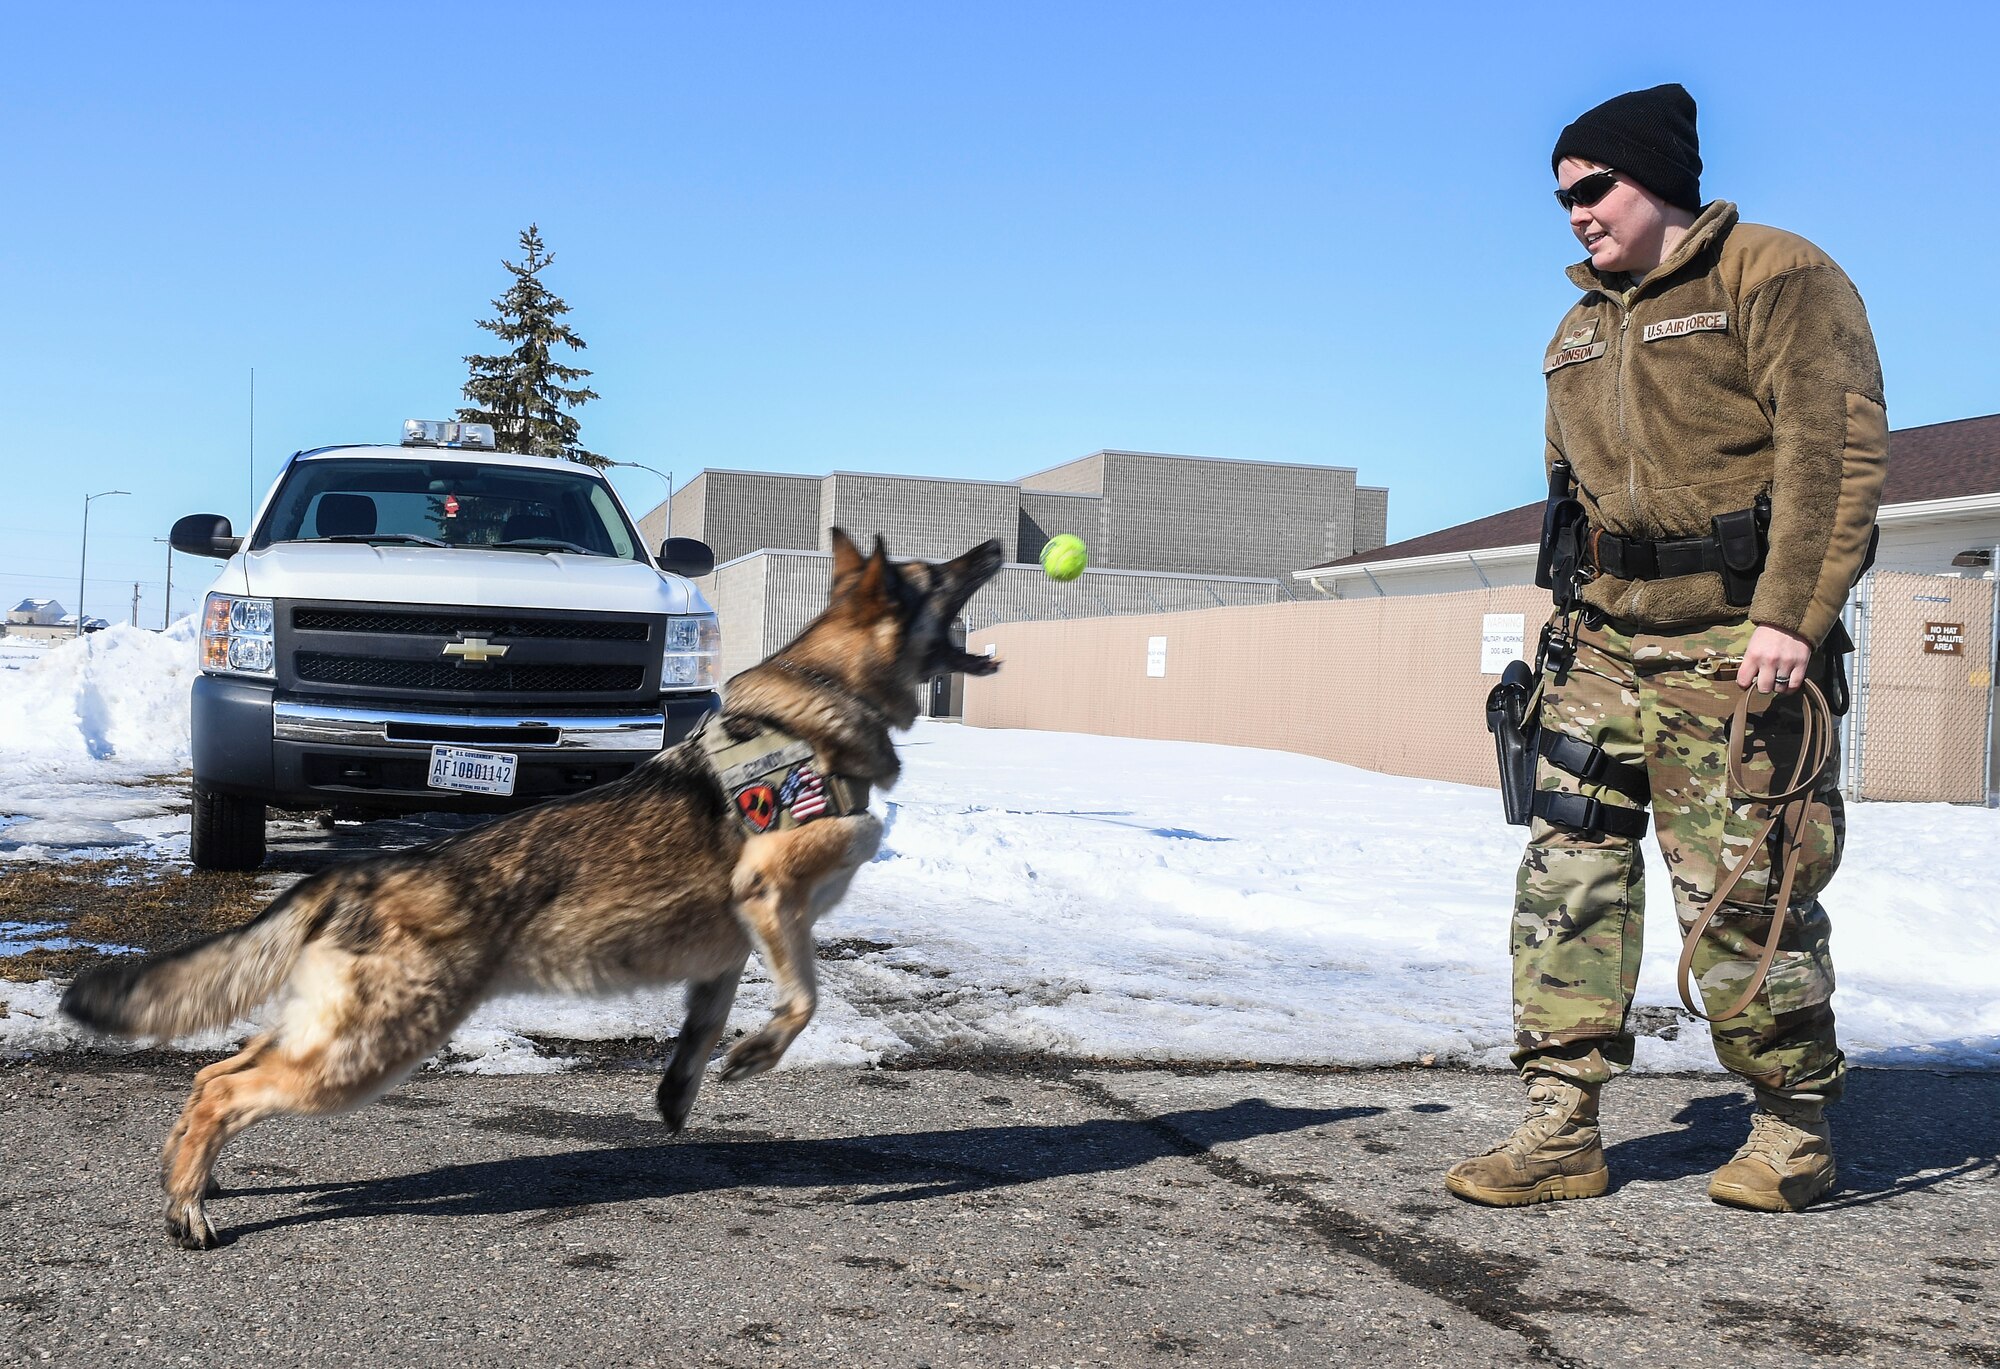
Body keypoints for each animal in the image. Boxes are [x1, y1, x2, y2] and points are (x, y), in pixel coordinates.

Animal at [66, 528, 1000, 1248]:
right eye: (935, 575)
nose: (991, 546)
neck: (818, 705)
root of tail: (350, 871)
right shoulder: (772, 889)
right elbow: (808, 984)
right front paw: (759, 1052)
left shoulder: (730, 947)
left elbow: (700, 1036)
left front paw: (683, 1090)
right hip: (364, 1052)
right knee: (226, 1087)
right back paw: (187, 1209)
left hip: (333, 1034)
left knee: (212, 1074)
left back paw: (191, 1178)